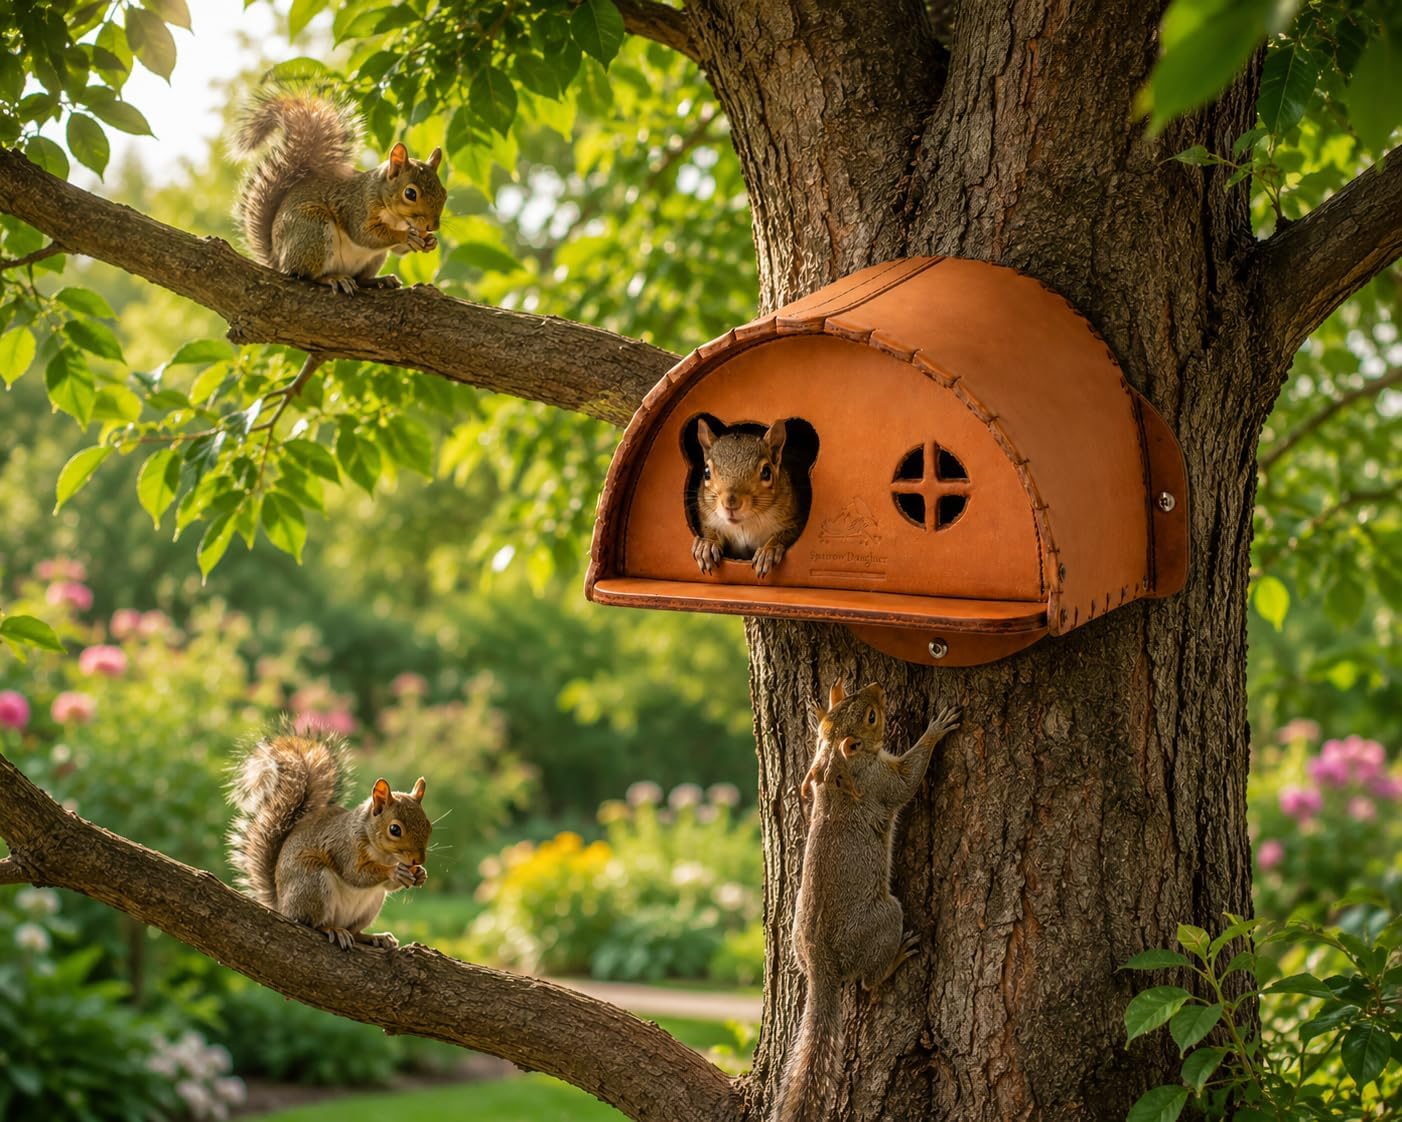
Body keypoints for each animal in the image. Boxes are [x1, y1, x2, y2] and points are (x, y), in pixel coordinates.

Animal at [226, 728, 432, 950]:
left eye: (428, 825)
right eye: (395, 829)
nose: (418, 860)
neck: (383, 854)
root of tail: (282, 906)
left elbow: (387, 885)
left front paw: (421, 874)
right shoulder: (345, 846)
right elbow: (355, 874)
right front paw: (394, 871)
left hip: (371, 904)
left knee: (355, 931)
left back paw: (374, 937)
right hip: (313, 885)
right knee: (314, 923)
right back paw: (332, 929)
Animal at [233, 91, 447, 295]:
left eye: (444, 193)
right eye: (410, 194)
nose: (433, 226)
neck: (396, 218)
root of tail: (278, 259)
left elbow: (398, 250)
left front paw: (430, 242)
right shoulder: (357, 207)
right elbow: (365, 235)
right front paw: (407, 236)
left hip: (374, 257)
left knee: (360, 278)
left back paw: (379, 280)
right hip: (312, 230)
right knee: (307, 275)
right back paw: (333, 278)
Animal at [691, 418, 803, 578]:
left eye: (766, 472)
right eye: (706, 472)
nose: (730, 503)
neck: (744, 524)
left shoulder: (793, 519)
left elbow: (785, 534)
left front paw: (768, 551)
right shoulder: (708, 517)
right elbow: (710, 530)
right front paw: (707, 544)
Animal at [774, 680, 961, 1122]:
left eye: (849, 701)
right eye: (872, 718)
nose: (877, 687)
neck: (838, 763)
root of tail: (821, 964)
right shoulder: (881, 783)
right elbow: (908, 780)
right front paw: (935, 729)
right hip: (884, 919)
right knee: (869, 980)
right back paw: (898, 957)